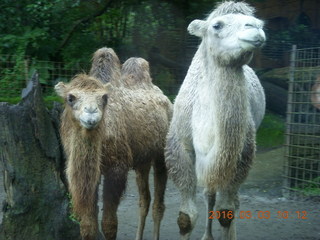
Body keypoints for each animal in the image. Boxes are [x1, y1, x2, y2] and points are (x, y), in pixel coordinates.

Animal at [56, 47, 174, 239]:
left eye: (104, 98)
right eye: (70, 98)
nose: (91, 113)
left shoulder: (117, 168)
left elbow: (109, 224)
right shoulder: (89, 174)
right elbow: (87, 226)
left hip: (161, 154)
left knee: (158, 204)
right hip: (142, 160)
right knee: (144, 200)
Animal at [165, 1, 264, 240]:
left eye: (259, 22)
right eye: (217, 25)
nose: (256, 27)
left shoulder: (243, 151)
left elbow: (226, 212)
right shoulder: (180, 147)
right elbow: (186, 217)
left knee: (232, 201)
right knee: (209, 193)